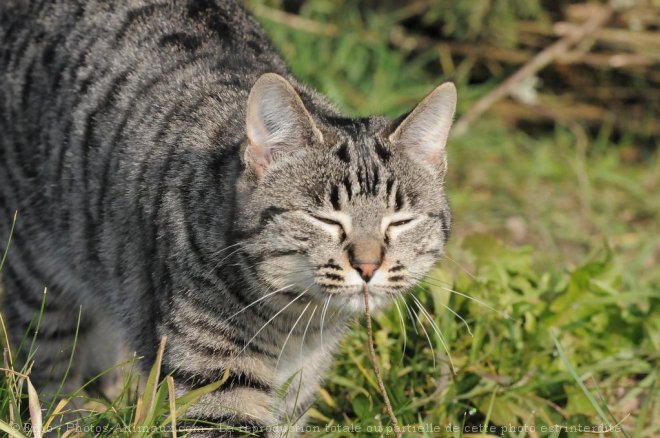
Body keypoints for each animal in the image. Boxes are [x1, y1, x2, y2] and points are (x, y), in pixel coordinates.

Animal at [0, 0, 456, 434]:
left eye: (401, 221)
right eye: (325, 219)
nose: (368, 266)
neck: (299, 326)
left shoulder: (297, 391)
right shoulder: (214, 385)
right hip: (39, 283)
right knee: (49, 376)